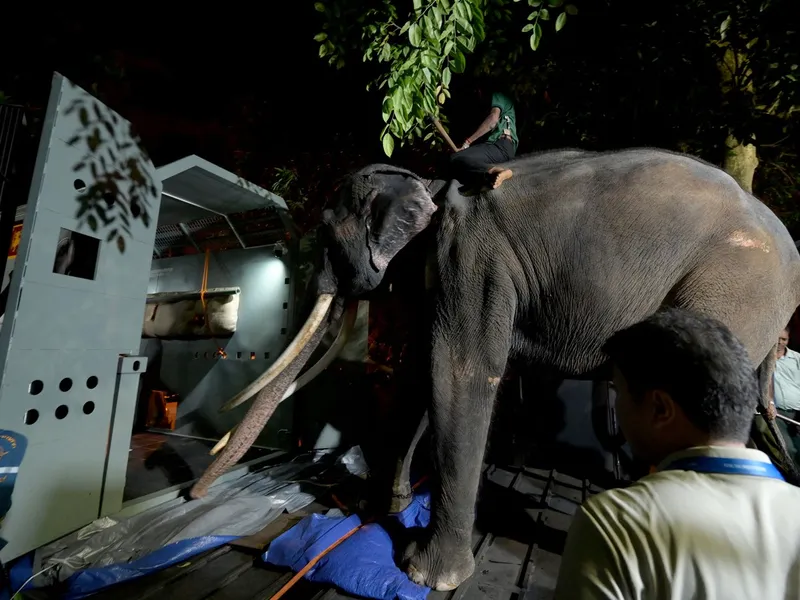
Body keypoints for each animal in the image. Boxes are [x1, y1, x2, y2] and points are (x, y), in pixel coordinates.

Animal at [189, 149, 800, 592]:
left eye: (324, 233)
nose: (192, 495)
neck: (428, 186)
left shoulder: (473, 261)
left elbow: (456, 372)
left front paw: (426, 574)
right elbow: (419, 376)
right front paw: (383, 508)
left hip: (732, 286)